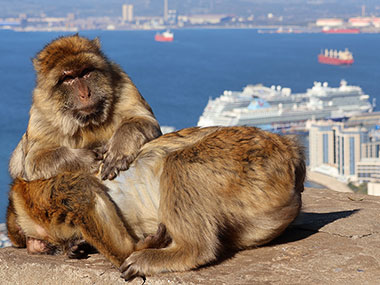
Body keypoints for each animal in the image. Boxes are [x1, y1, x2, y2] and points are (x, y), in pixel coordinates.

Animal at [7, 126, 306, 280]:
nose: (43, 247)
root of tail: (289, 151)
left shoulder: (38, 194)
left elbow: (81, 192)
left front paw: (139, 247)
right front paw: (76, 247)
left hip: (246, 160)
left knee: (181, 163)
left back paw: (178, 252)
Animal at [8, 33, 160, 182]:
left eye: (86, 72)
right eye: (68, 79)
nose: (85, 94)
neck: (89, 122)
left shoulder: (125, 87)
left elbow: (144, 120)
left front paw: (119, 149)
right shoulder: (41, 115)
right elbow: (34, 160)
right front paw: (88, 159)